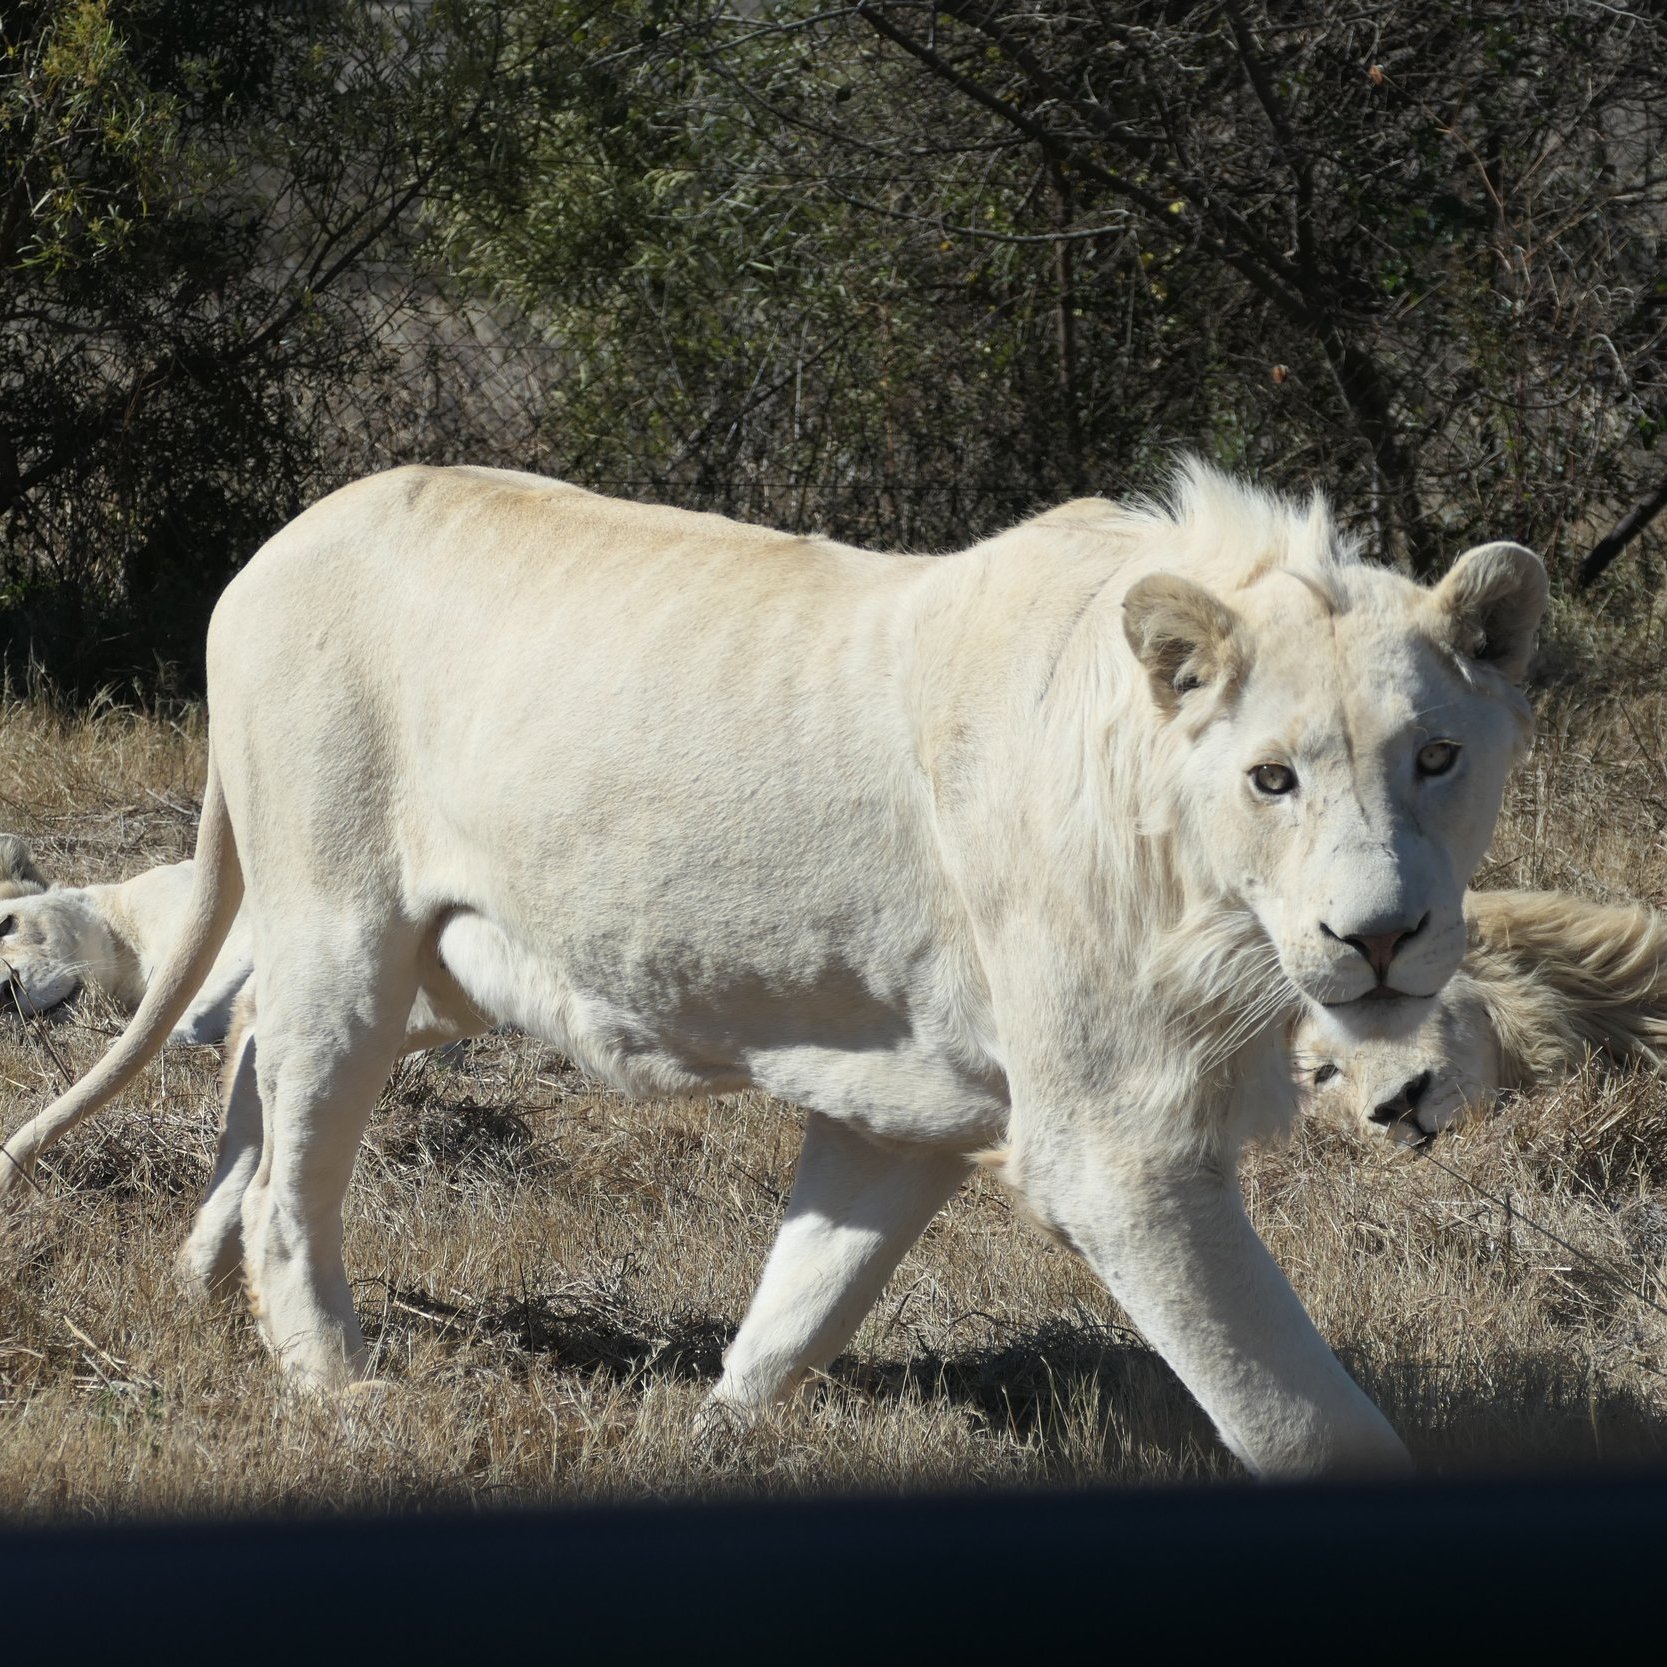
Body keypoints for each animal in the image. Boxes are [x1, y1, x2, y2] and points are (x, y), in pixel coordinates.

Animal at [0, 463, 1540, 1480]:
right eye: (1272, 776)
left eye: (1435, 755)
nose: (1379, 933)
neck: (1216, 909)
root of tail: (276, 543)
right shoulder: (1116, 1143)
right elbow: (1299, 1410)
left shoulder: (898, 1108)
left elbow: (807, 1294)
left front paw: (708, 1433)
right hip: (348, 929)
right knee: (294, 1160)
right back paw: (332, 1384)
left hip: (438, 968)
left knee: (254, 1045)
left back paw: (199, 1278)